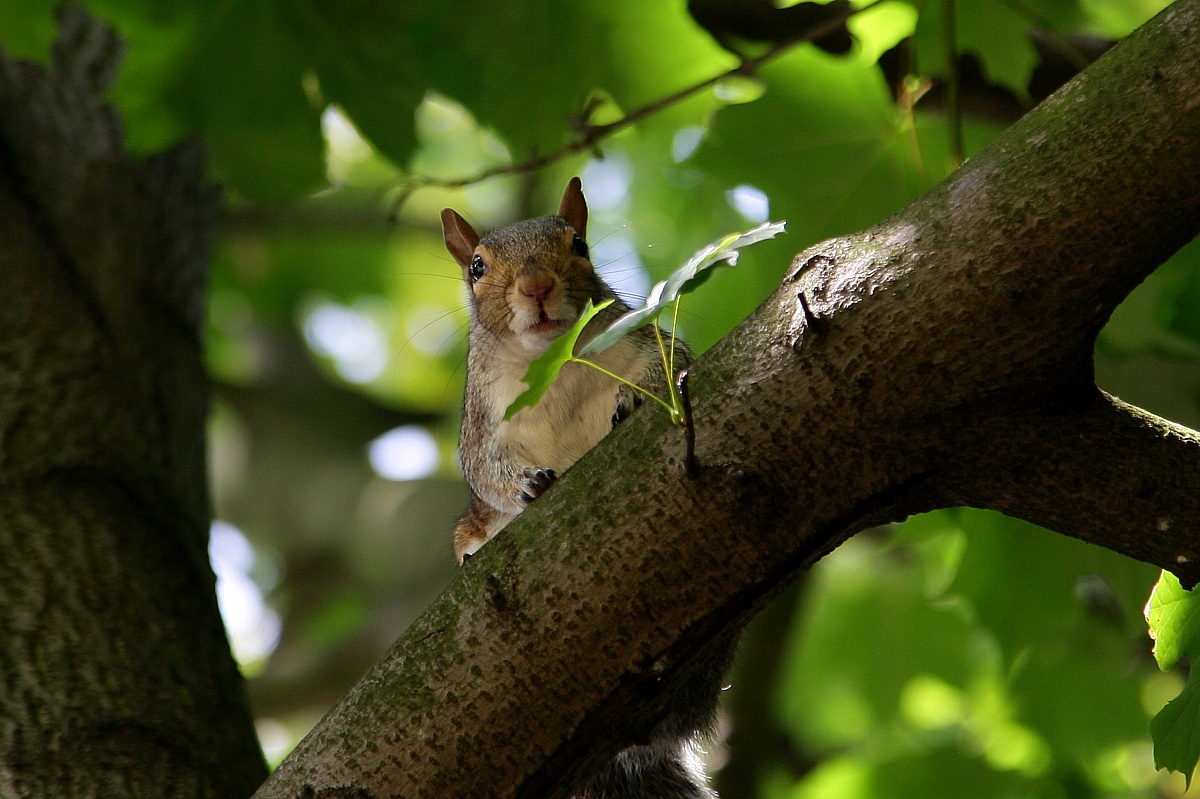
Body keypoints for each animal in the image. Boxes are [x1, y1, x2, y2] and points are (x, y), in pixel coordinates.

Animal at [441, 178, 734, 799]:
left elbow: (670, 370)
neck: (554, 362)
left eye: (579, 244)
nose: (535, 286)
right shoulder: (480, 425)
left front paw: (630, 402)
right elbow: (486, 473)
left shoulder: (645, 342)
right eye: (476, 267)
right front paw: (526, 485)